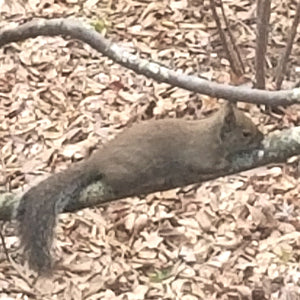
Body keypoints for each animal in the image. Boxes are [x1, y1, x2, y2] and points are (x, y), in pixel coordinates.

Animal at [17, 102, 264, 274]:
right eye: (245, 133)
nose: (261, 138)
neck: (212, 135)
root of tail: (98, 160)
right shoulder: (200, 155)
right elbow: (208, 165)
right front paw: (226, 163)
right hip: (129, 171)